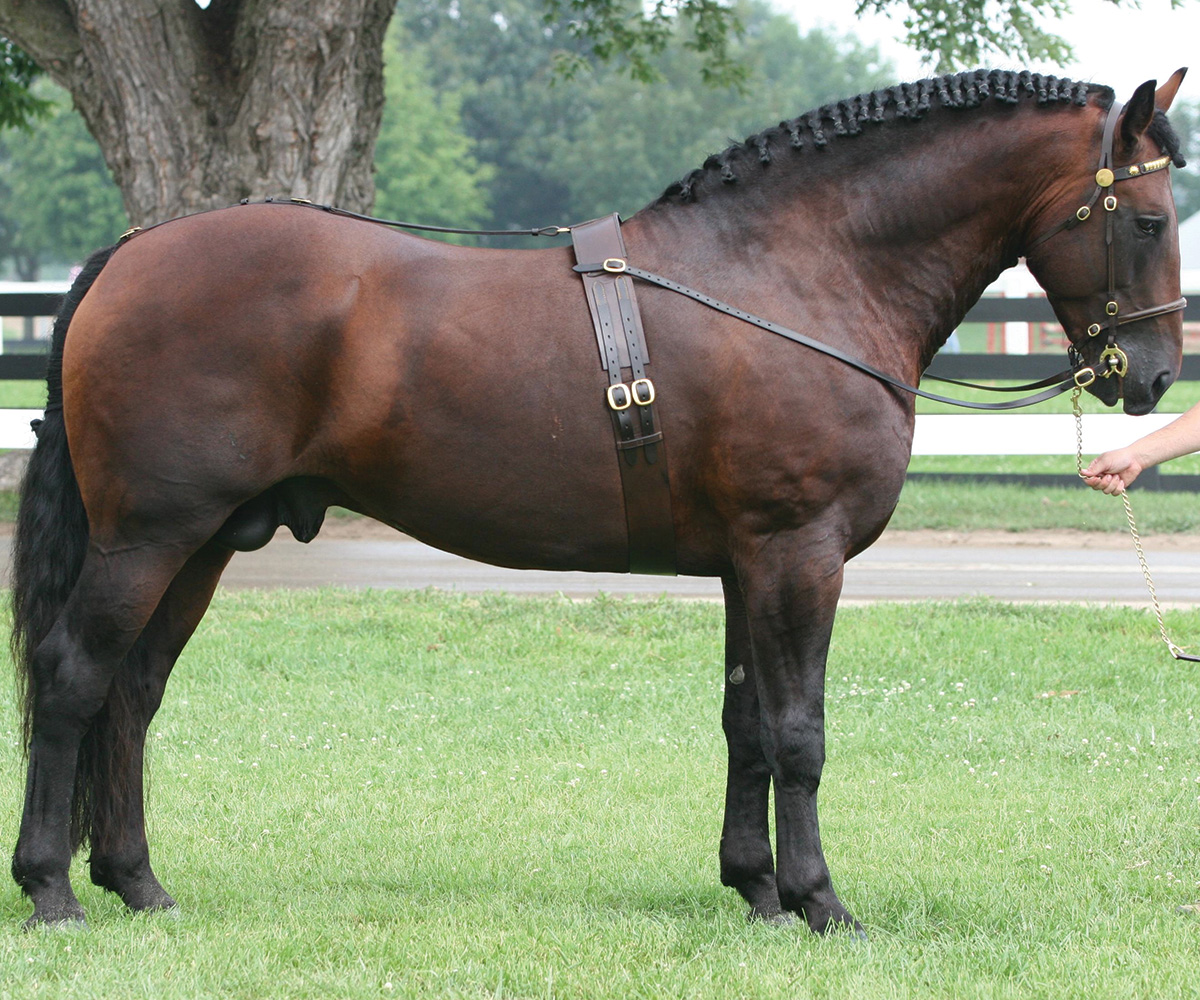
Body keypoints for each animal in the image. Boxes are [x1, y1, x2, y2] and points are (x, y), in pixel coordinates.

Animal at [9, 68, 1190, 926]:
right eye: (1143, 218)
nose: (1151, 375)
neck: (791, 274)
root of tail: (132, 254)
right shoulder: (799, 553)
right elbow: (799, 732)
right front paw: (819, 901)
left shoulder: (747, 564)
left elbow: (747, 724)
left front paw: (755, 888)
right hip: (146, 539)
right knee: (74, 681)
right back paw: (54, 889)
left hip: (201, 544)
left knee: (132, 694)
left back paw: (137, 882)